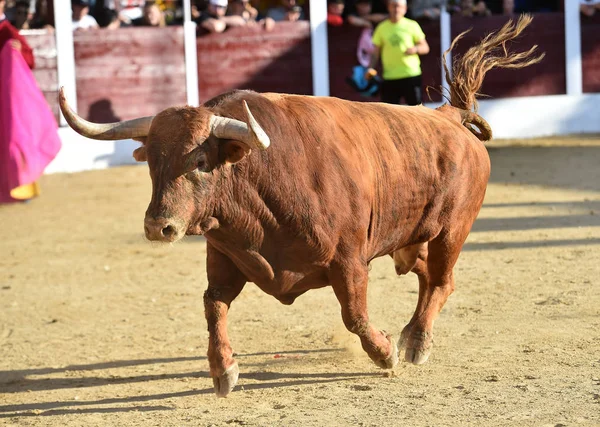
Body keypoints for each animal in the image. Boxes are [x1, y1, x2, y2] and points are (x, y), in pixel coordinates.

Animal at [58, 16, 540, 398]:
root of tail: (449, 117)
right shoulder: (225, 255)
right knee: (426, 275)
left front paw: (385, 354)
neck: (261, 180)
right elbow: (213, 305)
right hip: (408, 240)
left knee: (441, 279)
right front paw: (224, 371)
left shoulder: (349, 260)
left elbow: (355, 315)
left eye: (200, 161)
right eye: (152, 162)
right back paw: (410, 334)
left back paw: (415, 343)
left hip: (451, 230)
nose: (159, 227)